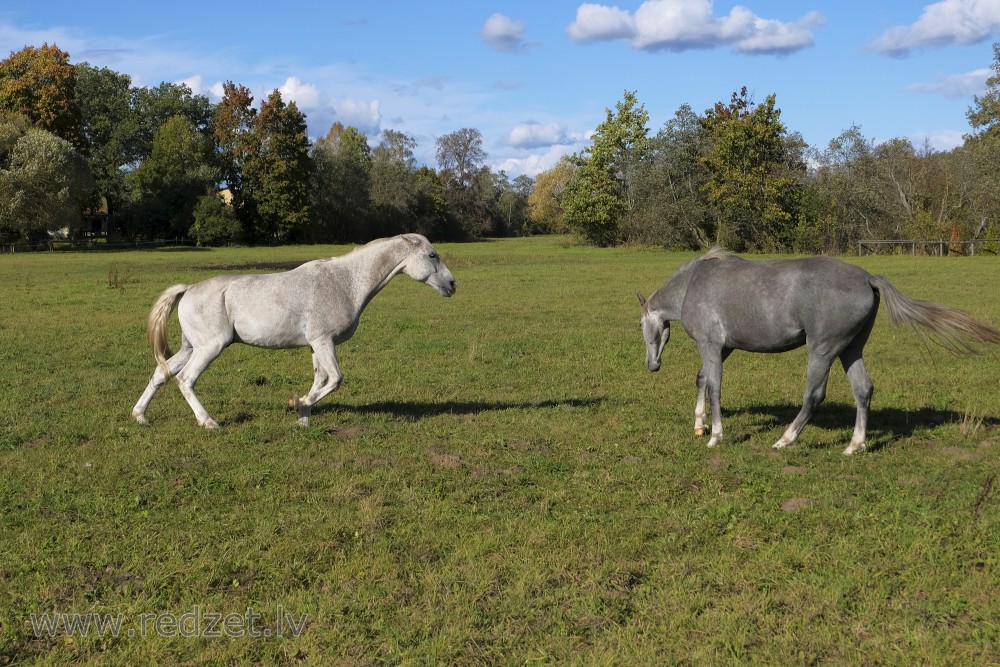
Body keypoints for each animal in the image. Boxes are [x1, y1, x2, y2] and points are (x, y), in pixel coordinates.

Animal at [132, 234, 458, 428]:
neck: (345, 283)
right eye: (432, 255)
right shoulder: (324, 341)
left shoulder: (317, 345)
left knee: (161, 373)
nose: (453, 284)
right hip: (210, 347)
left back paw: (140, 416)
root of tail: (188, 289)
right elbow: (335, 379)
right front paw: (297, 404)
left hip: (191, 347)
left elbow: (320, 380)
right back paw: (209, 422)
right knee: (185, 380)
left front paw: (302, 418)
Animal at [636, 248, 1000, 456]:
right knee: (863, 390)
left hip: (822, 351)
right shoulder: (723, 349)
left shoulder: (711, 345)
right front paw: (700, 425)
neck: (692, 286)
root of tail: (868, 278)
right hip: (850, 350)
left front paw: (716, 436)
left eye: (642, 326)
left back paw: (786, 440)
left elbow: (714, 388)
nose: (652, 365)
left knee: (813, 395)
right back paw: (855, 445)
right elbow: (702, 379)